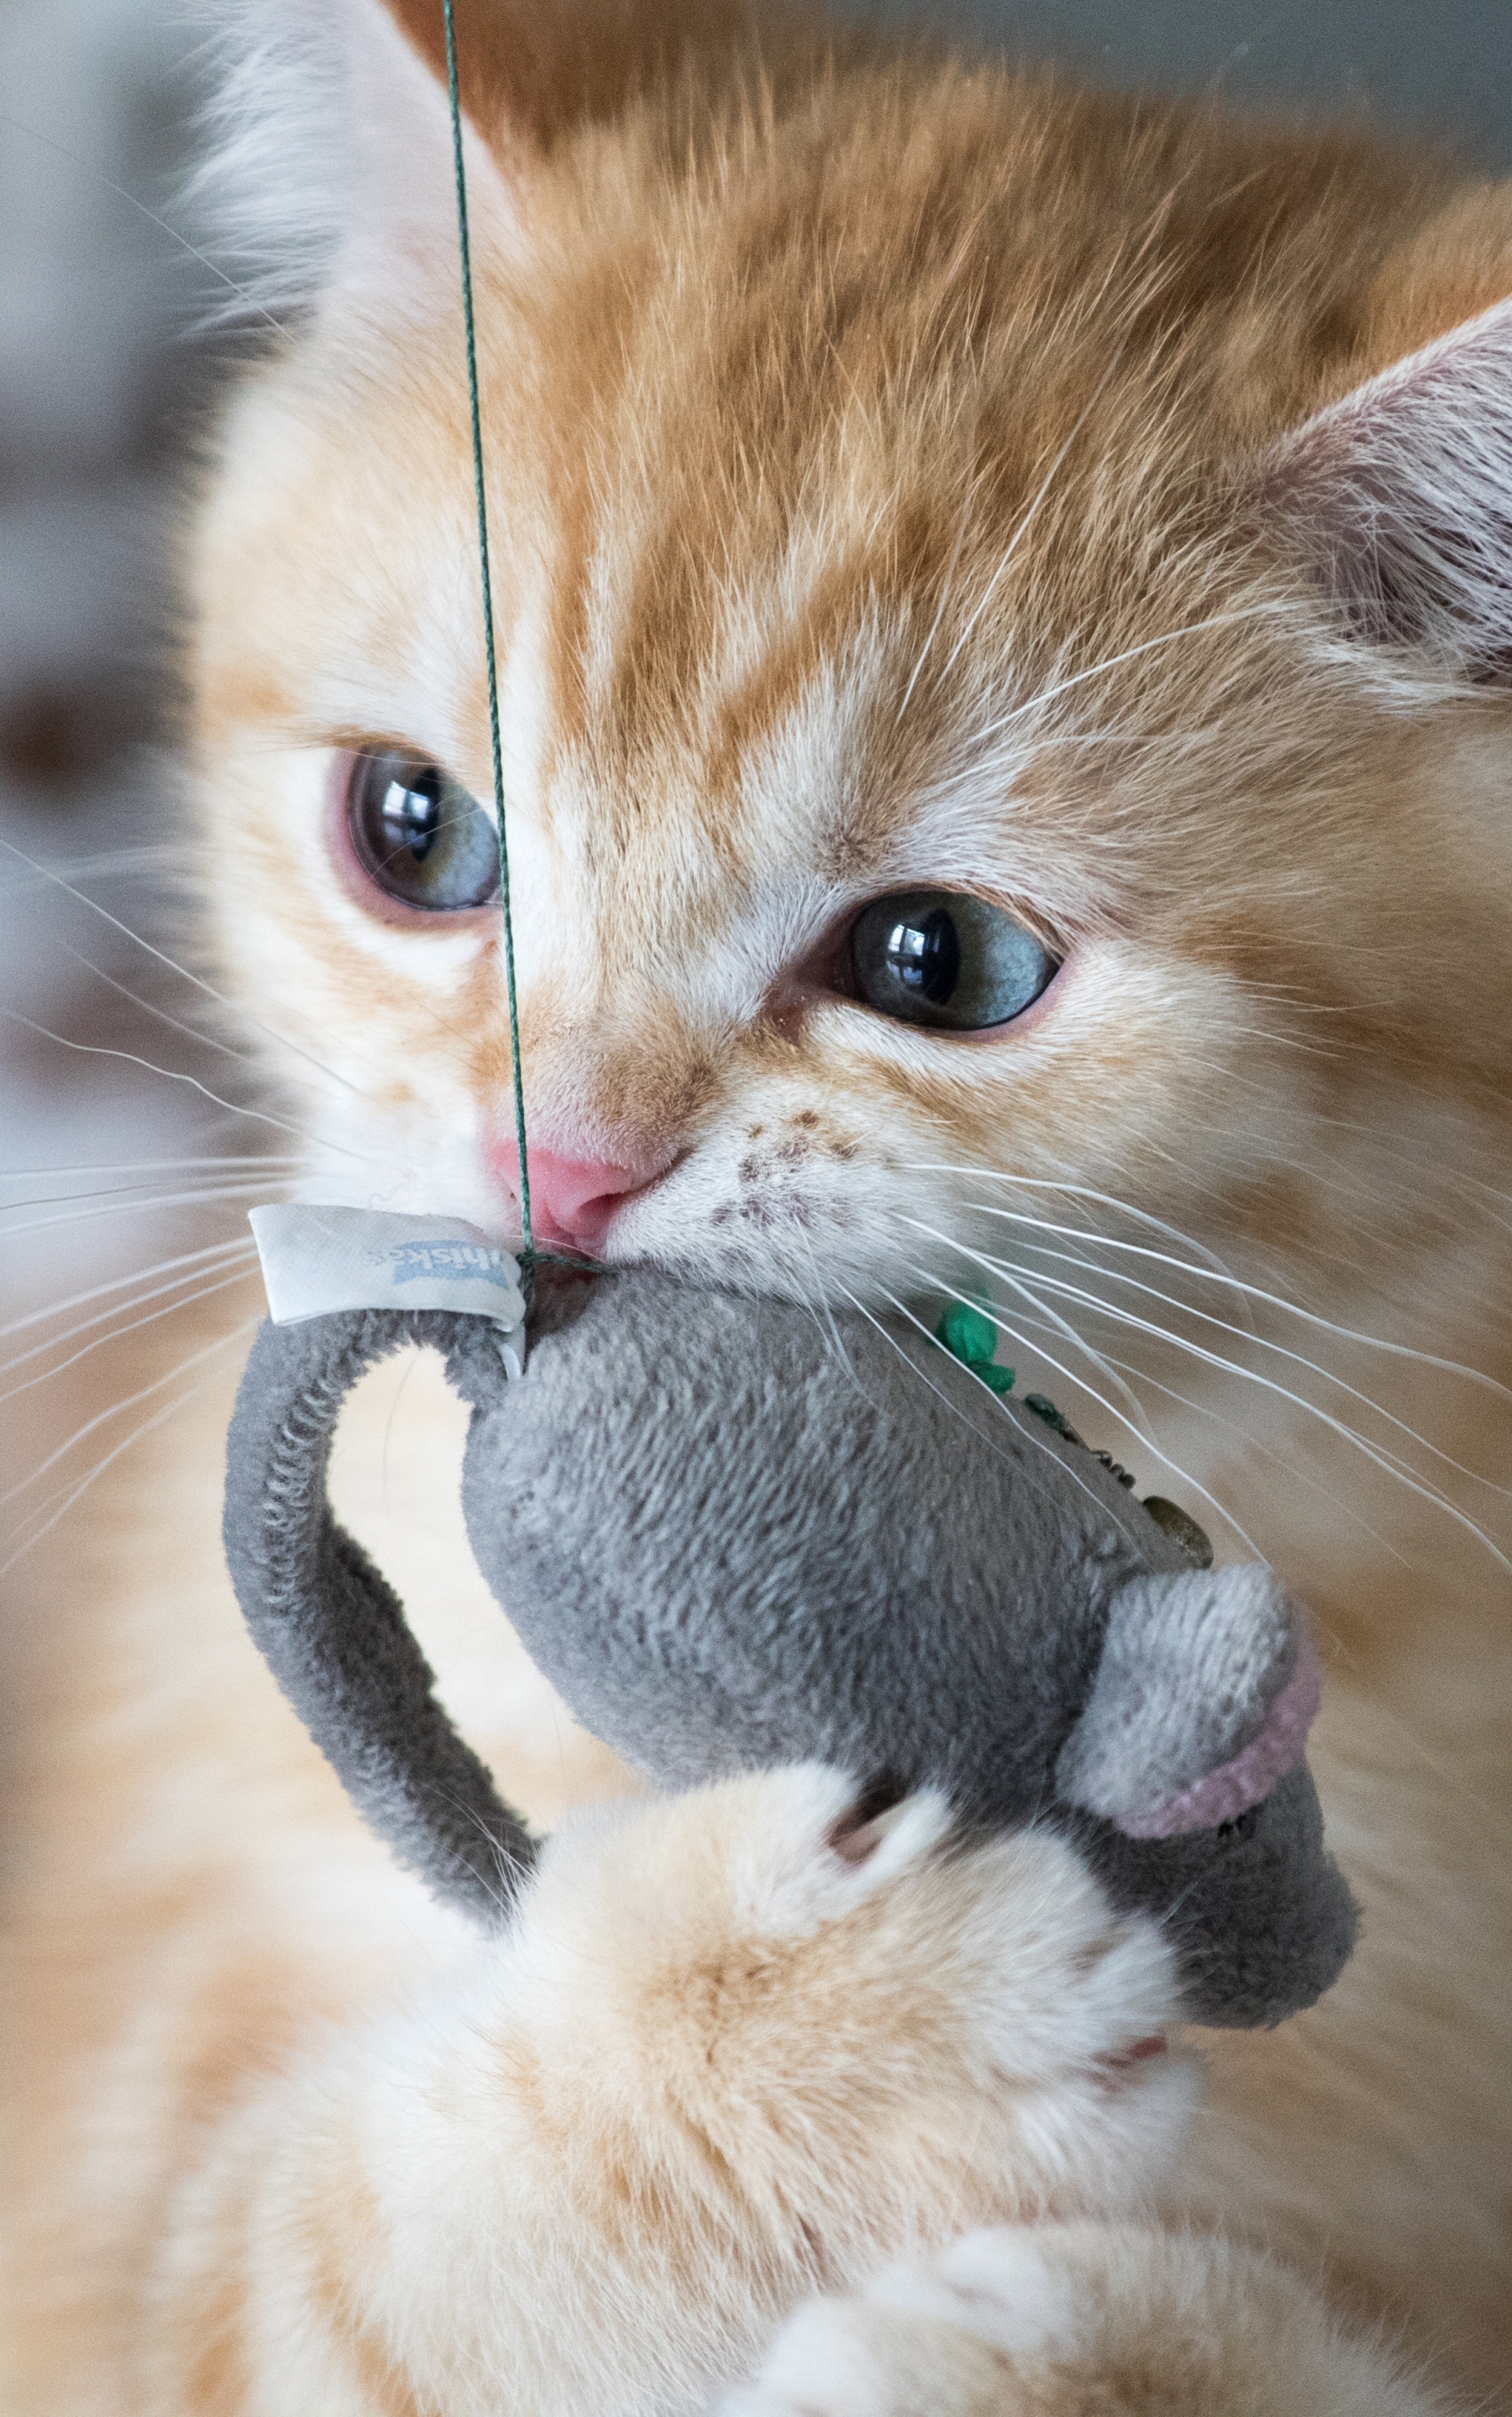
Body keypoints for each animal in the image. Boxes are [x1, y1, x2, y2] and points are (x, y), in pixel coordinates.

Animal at [0, 0, 1497, 2407]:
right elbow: (284, 2285)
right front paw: (806, 2050)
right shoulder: (84, 2193)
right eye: (412, 831)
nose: (561, 1164)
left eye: (940, 965)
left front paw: (1082, 2343)